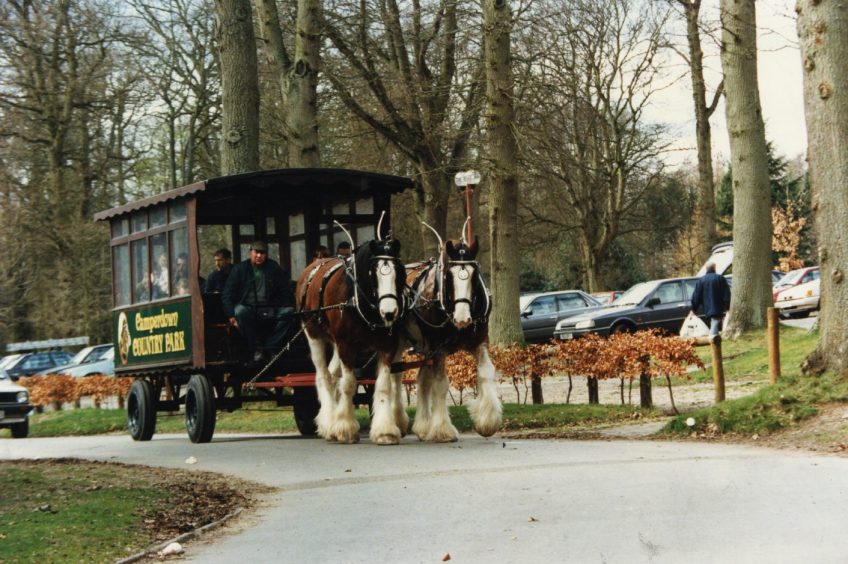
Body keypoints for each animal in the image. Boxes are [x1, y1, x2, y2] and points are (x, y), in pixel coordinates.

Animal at [294, 236, 408, 442]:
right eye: (374, 274)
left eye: (400, 271)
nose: (389, 313)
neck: (356, 300)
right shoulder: (346, 346)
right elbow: (348, 384)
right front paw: (345, 428)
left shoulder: (387, 346)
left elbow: (384, 386)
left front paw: (385, 430)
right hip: (314, 335)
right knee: (323, 376)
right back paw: (328, 422)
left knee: (332, 374)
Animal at [404, 232, 504, 440]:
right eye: (448, 276)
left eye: (474, 276)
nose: (462, 318)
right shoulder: (437, 348)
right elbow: (441, 384)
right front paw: (442, 429)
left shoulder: (479, 342)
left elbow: (485, 372)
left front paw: (487, 421)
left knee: (422, 380)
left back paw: (422, 425)